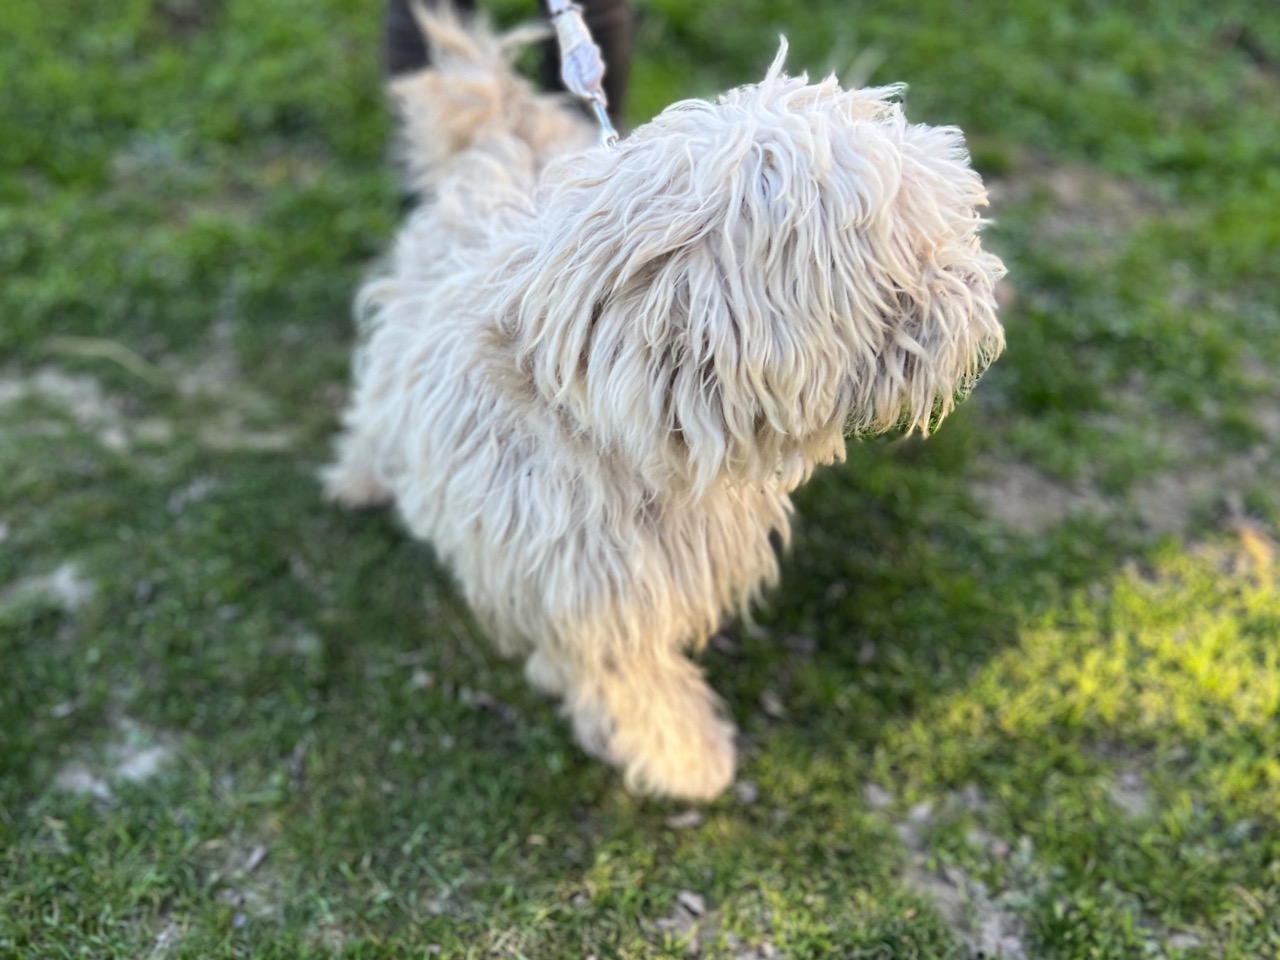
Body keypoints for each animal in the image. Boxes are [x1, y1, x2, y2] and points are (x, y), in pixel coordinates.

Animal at [324, 13, 1005, 801]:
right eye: (910, 256)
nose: (981, 296)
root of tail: (502, 132)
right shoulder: (590, 590)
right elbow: (632, 676)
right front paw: (688, 757)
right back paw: (360, 480)